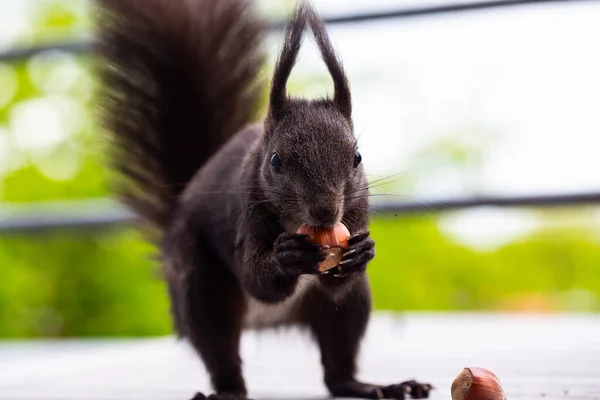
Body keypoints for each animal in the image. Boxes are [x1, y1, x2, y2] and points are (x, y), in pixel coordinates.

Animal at [94, 0, 432, 400]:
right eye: (275, 162)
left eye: (357, 157)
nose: (325, 212)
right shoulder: (247, 213)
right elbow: (256, 276)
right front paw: (288, 256)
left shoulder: (356, 211)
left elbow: (339, 280)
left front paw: (363, 251)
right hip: (202, 290)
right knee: (220, 350)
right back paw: (226, 391)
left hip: (351, 307)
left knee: (337, 368)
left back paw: (376, 385)